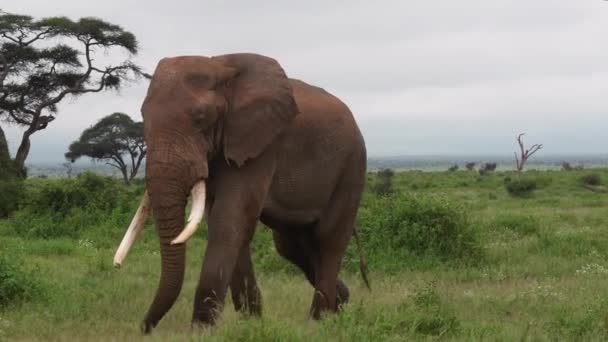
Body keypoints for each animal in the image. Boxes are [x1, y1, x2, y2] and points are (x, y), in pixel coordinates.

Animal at [113, 53, 368, 334]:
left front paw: (201, 331)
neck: (220, 66)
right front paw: (252, 322)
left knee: (329, 239)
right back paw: (340, 303)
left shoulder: (261, 144)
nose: (144, 328)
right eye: (142, 115)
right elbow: (231, 227)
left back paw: (317, 322)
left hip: (352, 167)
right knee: (291, 245)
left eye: (200, 118)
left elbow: (228, 221)